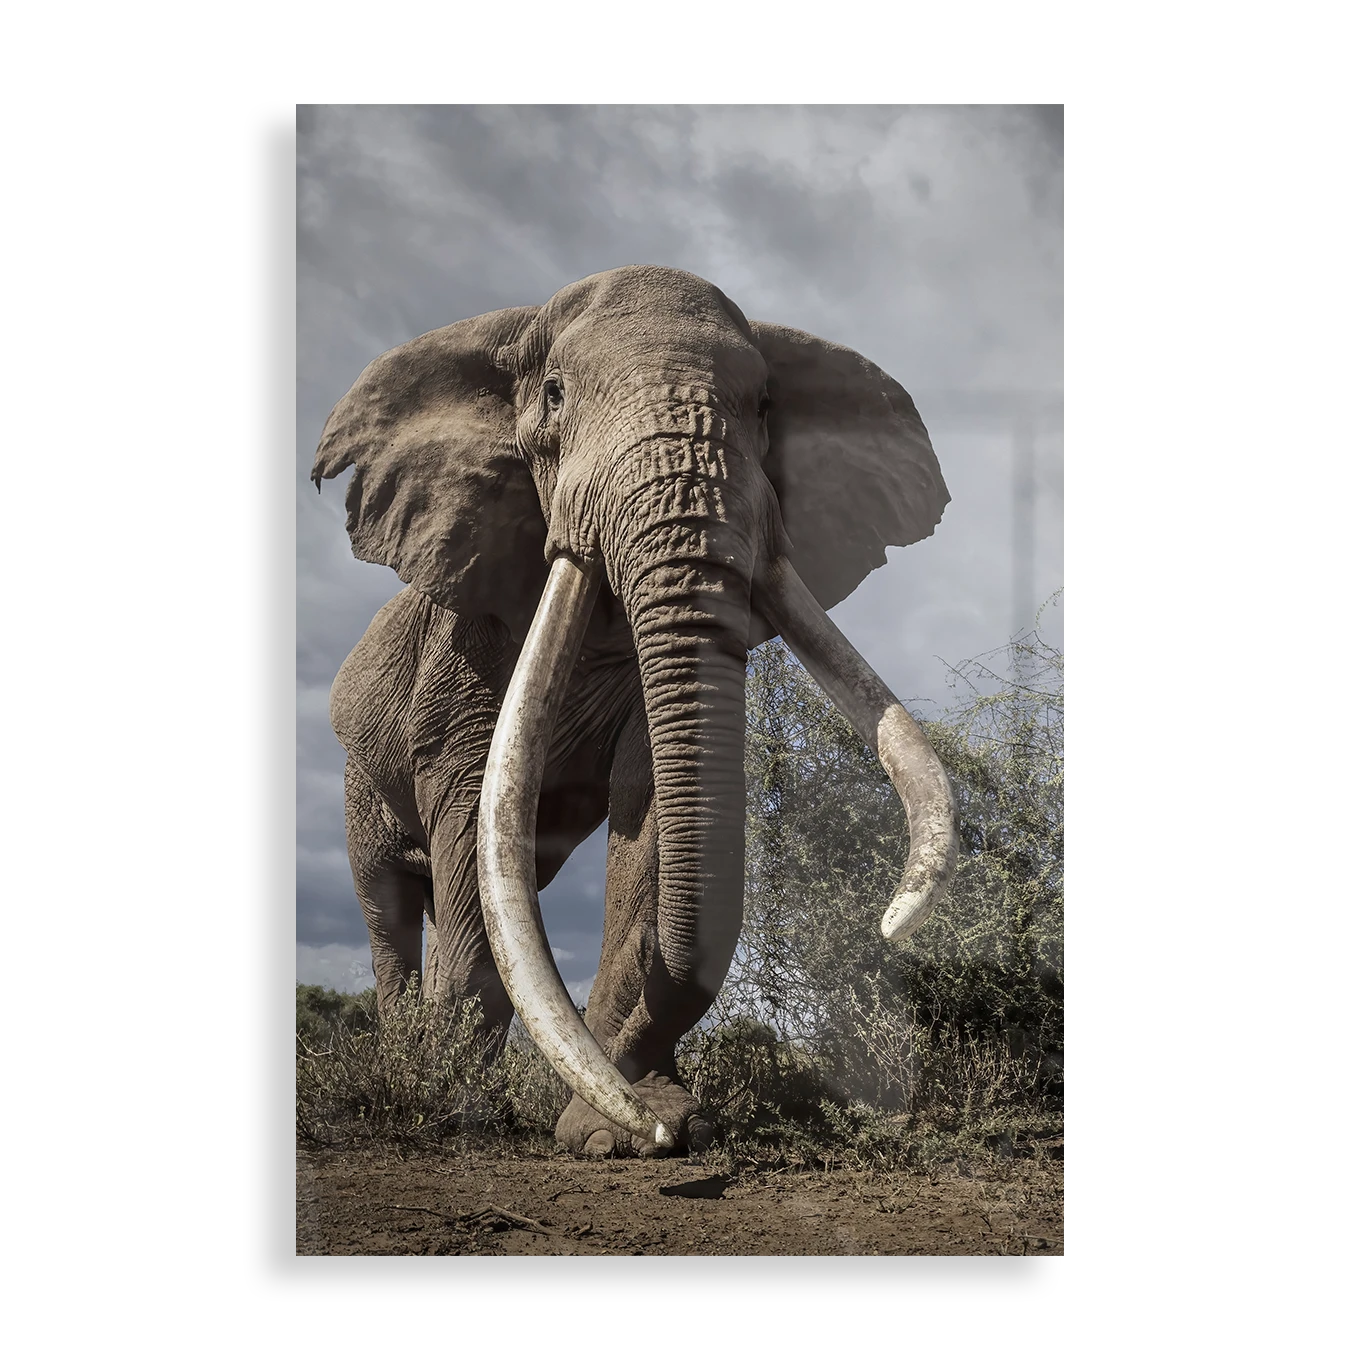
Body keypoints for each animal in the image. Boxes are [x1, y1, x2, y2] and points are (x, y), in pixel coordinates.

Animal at [311, 265, 958, 1157]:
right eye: (553, 395)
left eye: (764, 406)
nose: (890, 928)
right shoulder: (462, 647)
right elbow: (473, 804)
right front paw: (462, 1103)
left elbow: (651, 806)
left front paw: (631, 1127)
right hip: (356, 771)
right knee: (388, 903)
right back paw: (416, 1064)